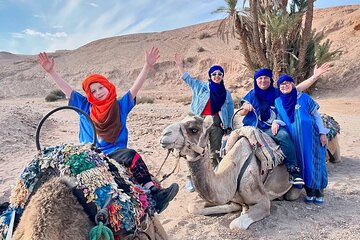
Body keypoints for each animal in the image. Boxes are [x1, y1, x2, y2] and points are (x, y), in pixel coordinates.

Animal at [160, 113, 340, 230]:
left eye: (193, 129)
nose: (164, 135)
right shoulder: (229, 196)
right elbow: (194, 207)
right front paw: (239, 208)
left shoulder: (262, 201)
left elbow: (236, 224)